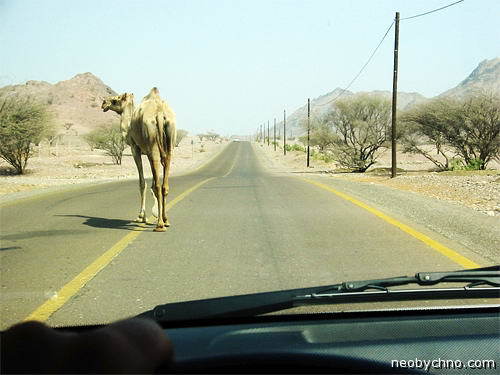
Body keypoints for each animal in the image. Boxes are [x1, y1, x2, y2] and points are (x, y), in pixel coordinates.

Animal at [101, 89, 176, 232]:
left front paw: (141, 217)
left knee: (158, 186)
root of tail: (159, 113)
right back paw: (165, 220)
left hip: (152, 143)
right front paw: (154, 214)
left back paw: (159, 225)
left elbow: (143, 183)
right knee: (164, 184)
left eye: (115, 99)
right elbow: (152, 183)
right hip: (169, 141)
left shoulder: (135, 149)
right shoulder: (148, 152)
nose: (103, 103)